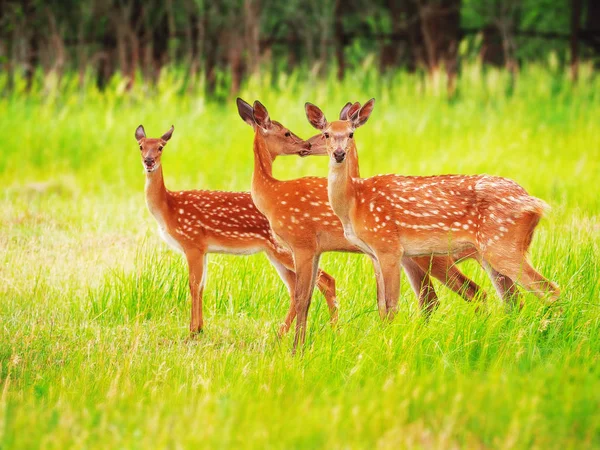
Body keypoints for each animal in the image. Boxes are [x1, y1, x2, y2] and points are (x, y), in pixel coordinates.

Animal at [137, 125, 342, 336]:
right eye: (141, 146)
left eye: (160, 147)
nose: (149, 161)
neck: (167, 209)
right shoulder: (203, 249)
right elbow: (201, 286)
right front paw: (200, 329)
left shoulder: (192, 242)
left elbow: (194, 285)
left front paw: (193, 332)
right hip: (275, 253)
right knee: (295, 288)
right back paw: (282, 334)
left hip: (286, 249)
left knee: (325, 280)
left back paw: (332, 330)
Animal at [236, 98, 488, 352]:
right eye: (325, 132)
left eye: (287, 132)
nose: (305, 145)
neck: (271, 195)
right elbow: (371, 301)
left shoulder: (303, 243)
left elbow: (303, 297)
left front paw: (297, 349)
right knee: (434, 299)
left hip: (433, 256)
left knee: (467, 292)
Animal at [308, 97, 560, 320]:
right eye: (326, 133)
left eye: (350, 134)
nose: (338, 153)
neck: (355, 202)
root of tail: (535, 203)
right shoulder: (373, 253)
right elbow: (382, 305)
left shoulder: (389, 246)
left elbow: (391, 306)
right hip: (492, 252)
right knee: (513, 300)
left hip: (502, 246)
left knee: (548, 290)